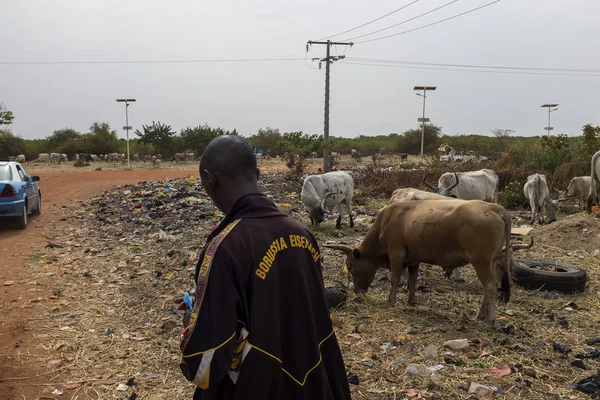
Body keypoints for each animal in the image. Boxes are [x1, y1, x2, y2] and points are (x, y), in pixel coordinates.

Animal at [326, 199, 532, 322]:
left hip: (482, 262)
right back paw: (482, 314)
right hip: (493, 261)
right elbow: (412, 280)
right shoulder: (413, 260)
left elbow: (395, 280)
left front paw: (391, 301)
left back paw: (487, 318)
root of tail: (494, 207)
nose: (357, 291)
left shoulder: (396, 255)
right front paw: (411, 301)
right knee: (491, 286)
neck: (387, 220)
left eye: (351, 268)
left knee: (490, 285)